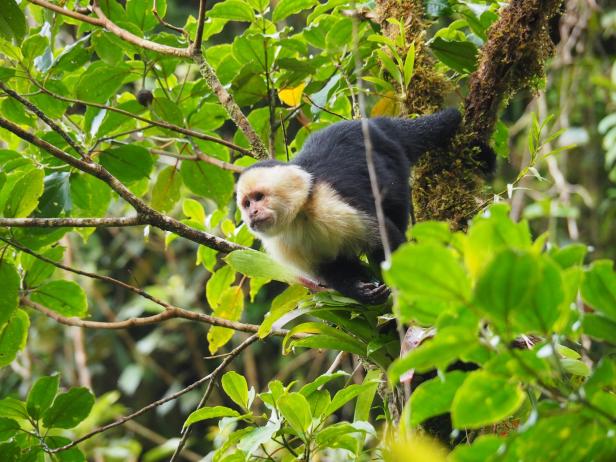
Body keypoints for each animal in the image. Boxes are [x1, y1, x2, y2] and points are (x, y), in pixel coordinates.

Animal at [237, 108, 490, 304]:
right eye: (246, 204)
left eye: (259, 197)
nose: (252, 214)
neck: (299, 216)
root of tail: (374, 124)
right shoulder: (284, 245)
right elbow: (331, 271)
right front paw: (359, 290)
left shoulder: (332, 203)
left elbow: (384, 237)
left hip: (390, 158)